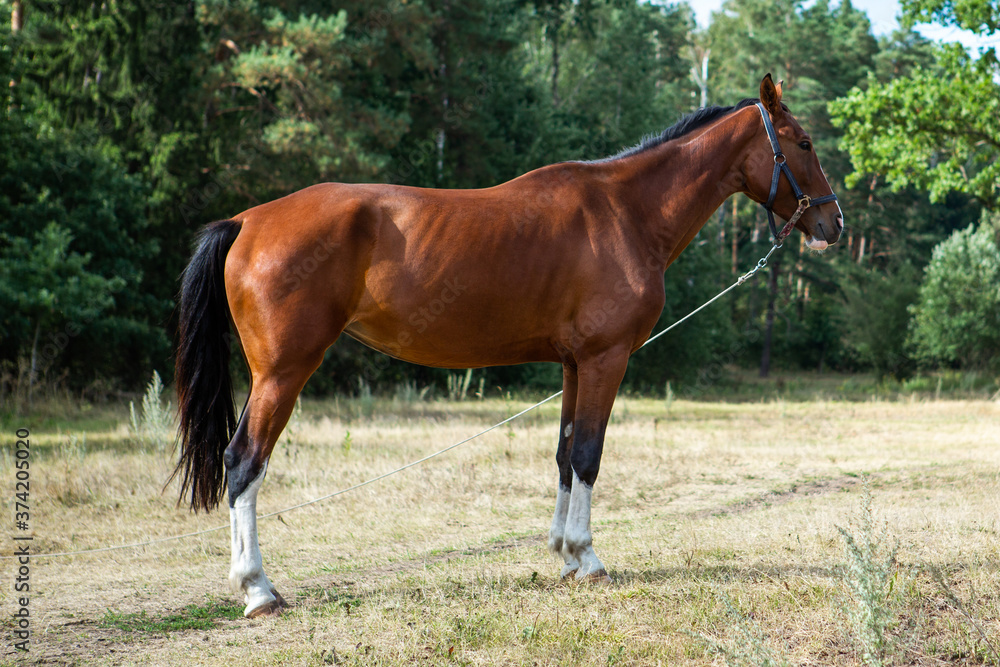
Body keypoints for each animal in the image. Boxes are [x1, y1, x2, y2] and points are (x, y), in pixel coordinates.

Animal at [172, 74, 843, 618]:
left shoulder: (574, 365)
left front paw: (564, 555)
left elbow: (566, 455)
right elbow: (590, 455)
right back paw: (258, 589)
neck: (625, 211)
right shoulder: (606, 360)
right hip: (282, 374)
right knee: (243, 462)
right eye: (805, 143)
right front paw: (588, 558)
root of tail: (247, 220)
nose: (833, 224)